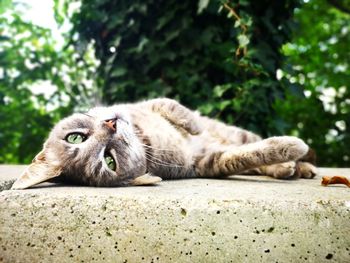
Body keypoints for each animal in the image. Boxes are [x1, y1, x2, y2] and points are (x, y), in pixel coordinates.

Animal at [10, 98, 318, 189]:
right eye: (109, 161)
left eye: (75, 137)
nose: (111, 125)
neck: (144, 137)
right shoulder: (207, 163)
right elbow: (248, 156)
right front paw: (292, 146)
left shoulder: (146, 105)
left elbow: (172, 107)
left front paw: (192, 124)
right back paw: (290, 166)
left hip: (236, 132)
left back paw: (301, 168)